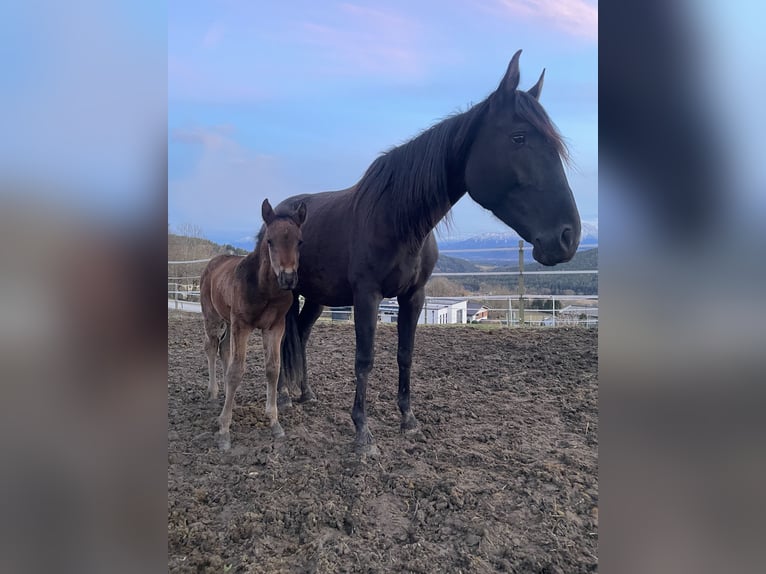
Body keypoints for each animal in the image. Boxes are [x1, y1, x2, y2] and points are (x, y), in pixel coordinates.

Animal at [202, 200, 308, 452]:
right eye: (269, 240)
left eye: (299, 241)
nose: (288, 279)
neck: (265, 289)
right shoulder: (242, 325)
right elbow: (236, 371)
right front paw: (224, 431)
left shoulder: (275, 327)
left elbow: (273, 369)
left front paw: (275, 423)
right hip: (213, 317)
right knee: (211, 348)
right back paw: (214, 392)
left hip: (228, 321)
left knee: (223, 350)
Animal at [276, 50, 584, 454]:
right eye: (519, 137)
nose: (568, 237)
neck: (397, 217)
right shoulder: (367, 295)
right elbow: (364, 359)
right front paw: (362, 432)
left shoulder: (414, 296)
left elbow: (405, 355)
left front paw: (408, 420)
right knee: (285, 337)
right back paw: (281, 397)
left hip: (315, 296)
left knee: (302, 334)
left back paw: (305, 393)